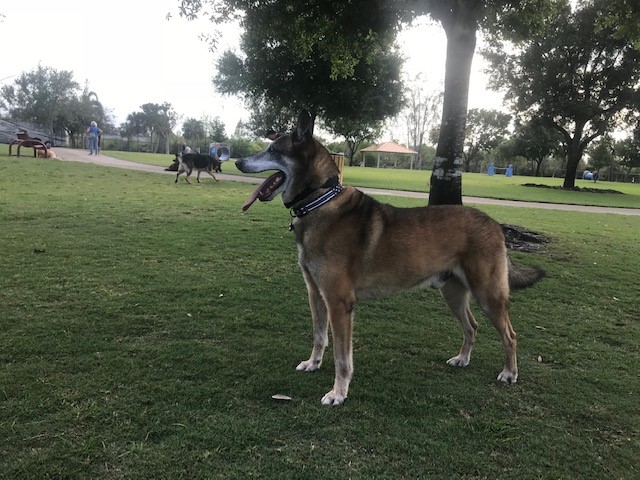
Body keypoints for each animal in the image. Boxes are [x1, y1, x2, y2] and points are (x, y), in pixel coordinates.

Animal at [236, 110, 545, 406]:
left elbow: (342, 356)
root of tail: (494, 223)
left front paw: (338, 393)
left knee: (510, 335)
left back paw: (509, 373)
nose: (237, 162)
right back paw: (463, 359)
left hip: (488, 294)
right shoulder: (316, 294)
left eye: (274, 150)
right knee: (472, 326)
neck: (320, 201)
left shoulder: (339, 303)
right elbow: (319, 336)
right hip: (453, 294)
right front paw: (313, 363)